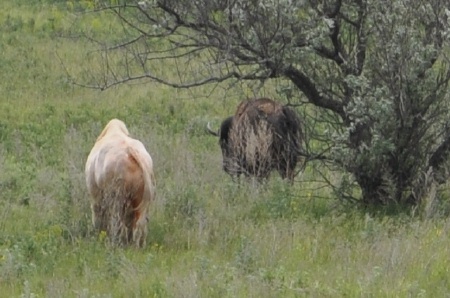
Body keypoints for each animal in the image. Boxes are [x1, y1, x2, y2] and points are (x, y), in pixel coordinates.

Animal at [85, 118, 156, 247]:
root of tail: (130, 151)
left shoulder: (95, 194)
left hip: (118, 198)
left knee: (118, 222)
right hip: (143, 200)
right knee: (138, 225)